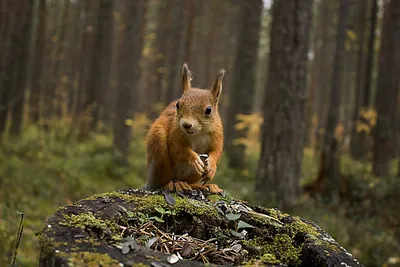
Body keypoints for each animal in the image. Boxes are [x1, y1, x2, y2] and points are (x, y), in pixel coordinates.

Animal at [144, 63, 225, 194]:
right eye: (178, 104)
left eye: (208, 110)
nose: (186, 124)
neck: (198, 132)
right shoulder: (175, 132)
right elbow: (178, 149)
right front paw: (194, 158)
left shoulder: (217, 134)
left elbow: (216, 151)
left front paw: (212, 166)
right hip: (159, 151)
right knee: (163, 181)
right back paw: (174, 184)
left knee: (189, 182)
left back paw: (203, 186)